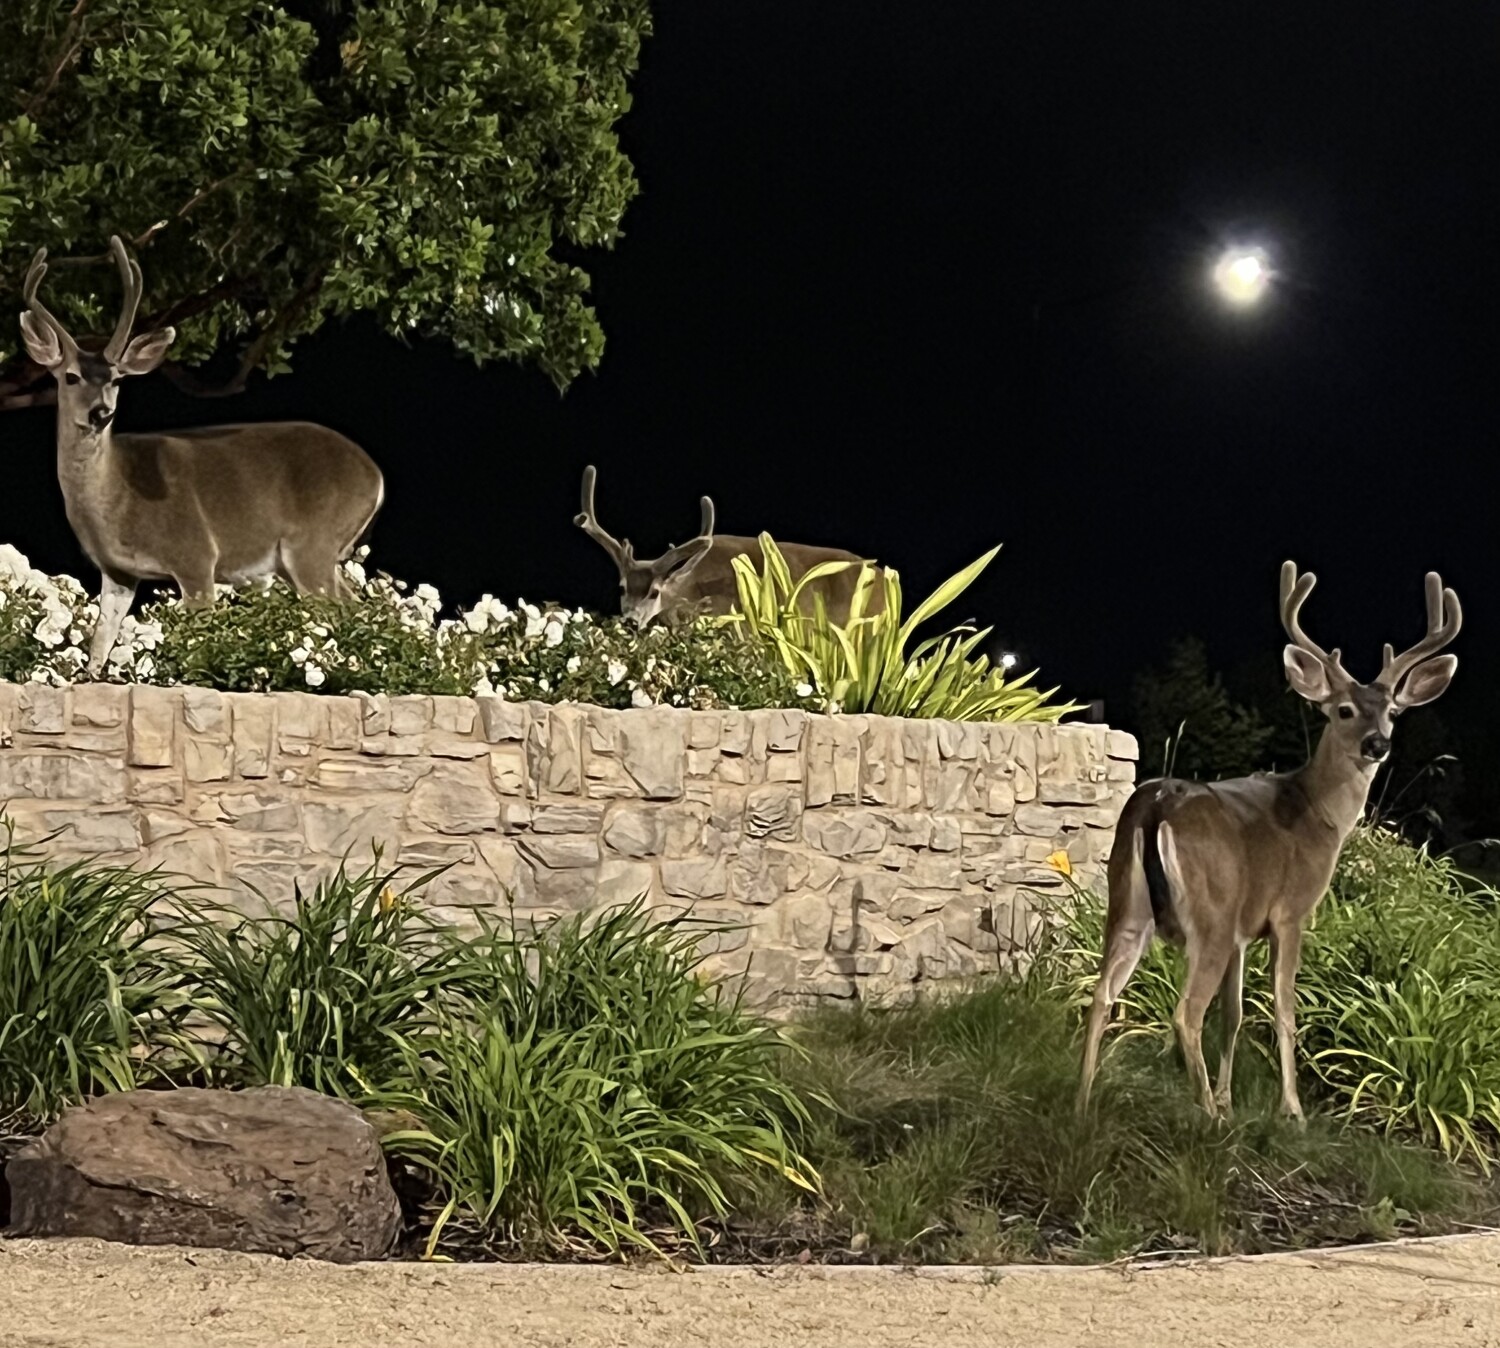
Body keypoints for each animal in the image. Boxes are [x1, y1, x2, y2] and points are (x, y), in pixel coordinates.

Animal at [18, 236, 385, 675]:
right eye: (71, 377)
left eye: (117, 379)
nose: (100, 413)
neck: (116, 496)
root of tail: (376, 476)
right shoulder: (117, 571)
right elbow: (98, 648)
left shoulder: (195, 555)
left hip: (312, 542)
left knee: (344, 609)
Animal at [1077, 561, 1462, 1124]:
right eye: (1343, 710)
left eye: (1392, 711)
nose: (1378, 744)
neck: (1319, 813)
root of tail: (1157, 804)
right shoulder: (1289, 912)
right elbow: (1283, 1010)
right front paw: (1290, 1109)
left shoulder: (1243, 927)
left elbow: (1235, 1015)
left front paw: (1230, 1098)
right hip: (1209, 915)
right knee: (1185, 1012)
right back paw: (1207, 1116)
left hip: (1126, 903)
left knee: (1102, 994)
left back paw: (1082, 1099)